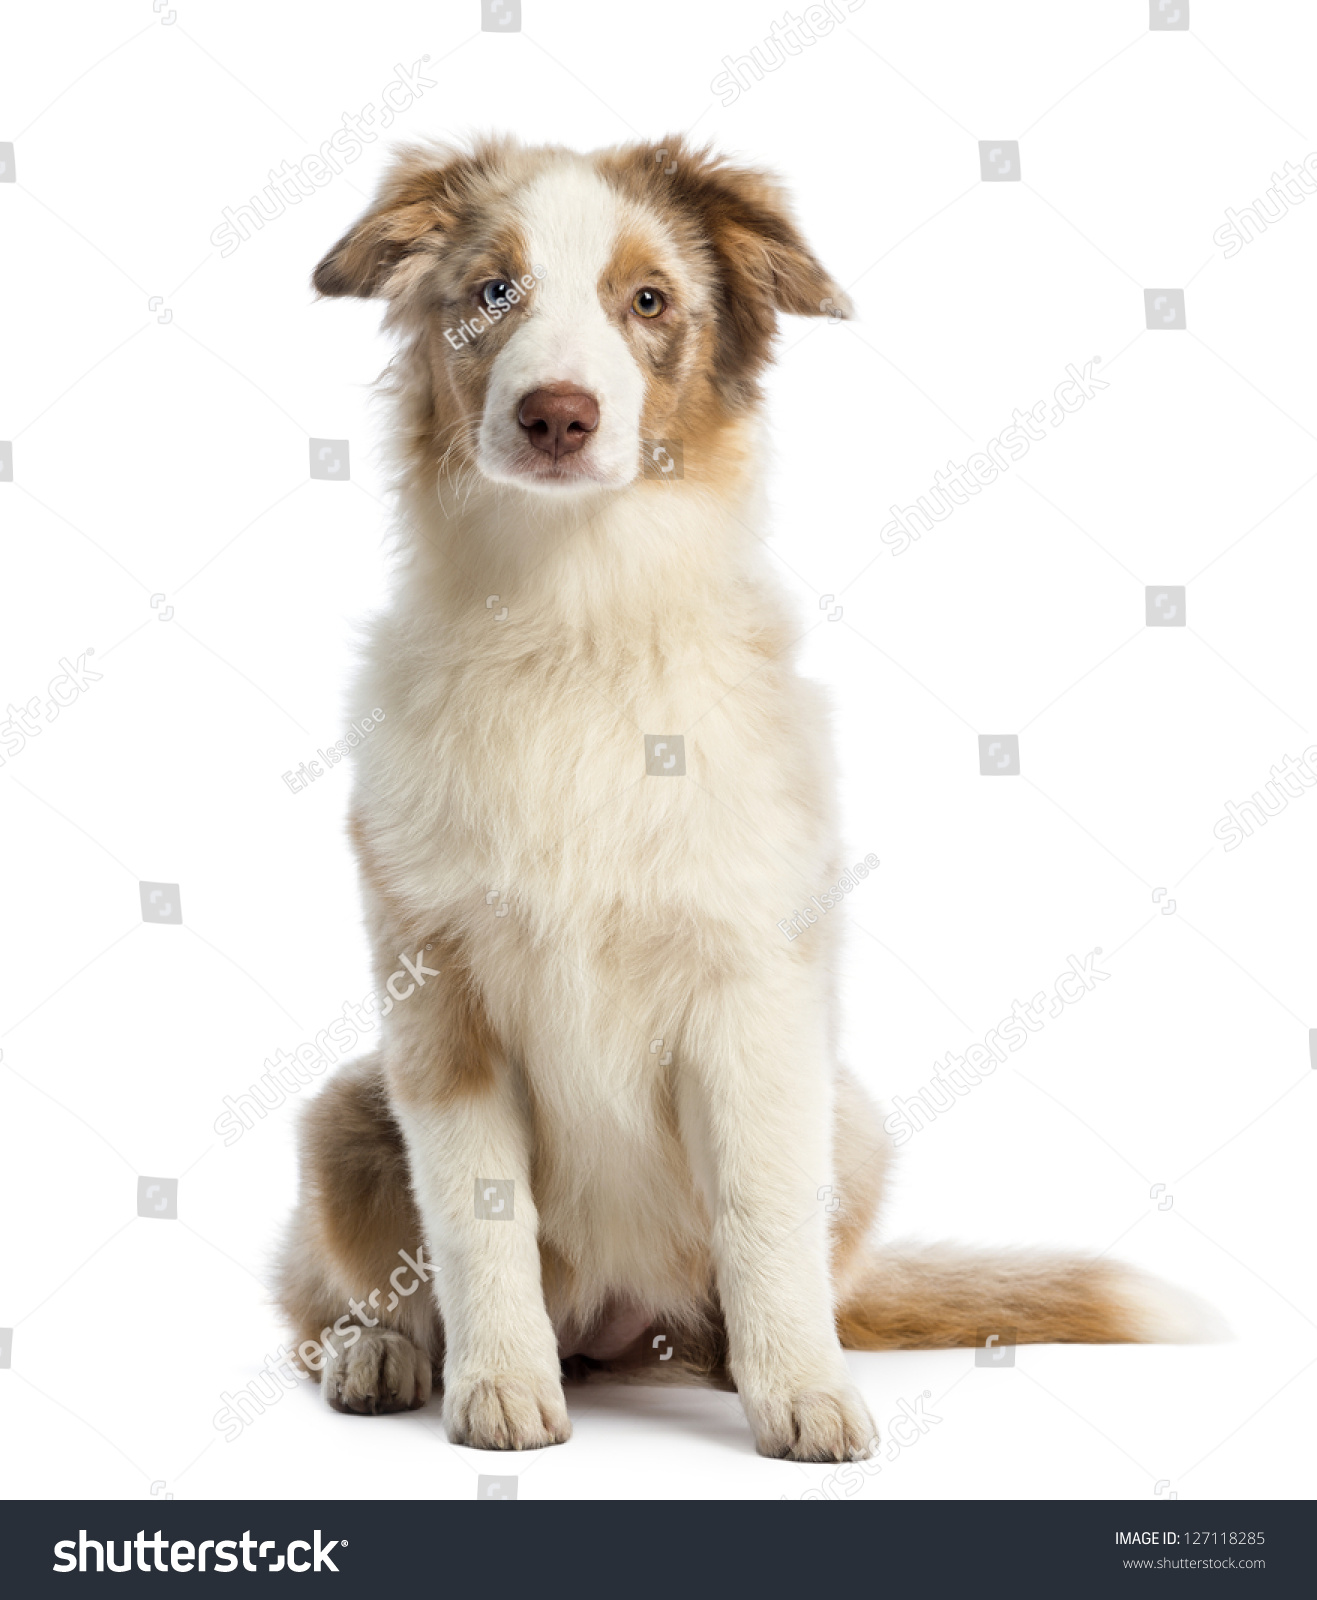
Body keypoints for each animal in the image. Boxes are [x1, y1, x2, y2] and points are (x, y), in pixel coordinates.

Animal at [280, 137, 1216, 1465]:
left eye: (649, 299)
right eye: (493, 292)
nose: (556, 415)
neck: (577, 615)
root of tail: (615, 1328)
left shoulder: (752, 991)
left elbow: (763, 1212)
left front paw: (805, 1395)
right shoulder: (438, 1001)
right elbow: (474, 1216)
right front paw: (499, 1385)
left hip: (851, 1117)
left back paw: (736, 1361)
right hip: (345, 1106)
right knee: (330, 1291)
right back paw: (384, 1350)